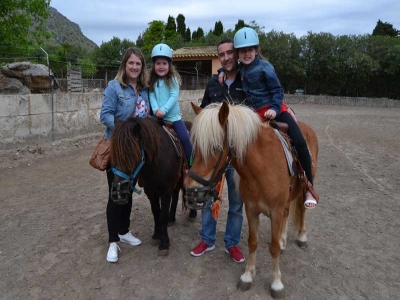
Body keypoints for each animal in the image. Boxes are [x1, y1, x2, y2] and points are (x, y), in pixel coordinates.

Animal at [108, 116, 191, 255]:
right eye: (114, 154)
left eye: (131, 153)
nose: (118, 193)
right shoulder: (151, 191)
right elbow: (156, 212)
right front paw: (157, 235)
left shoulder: (165, 192)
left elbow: (163, 216)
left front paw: (164, 243)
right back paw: (172, 218)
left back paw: (192, 214)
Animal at [187, 101, 318, 298]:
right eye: (194, 145)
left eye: (215, 148)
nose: (192, 191)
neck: (262, 167)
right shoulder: (251, 210)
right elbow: (252, 242)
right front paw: (248, 276)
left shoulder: (275, 211)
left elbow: (273, 248)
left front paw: (276, 284)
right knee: (288, 213)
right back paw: (283, 240)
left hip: (304, 188)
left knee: (301, 210)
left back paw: (301, 237)